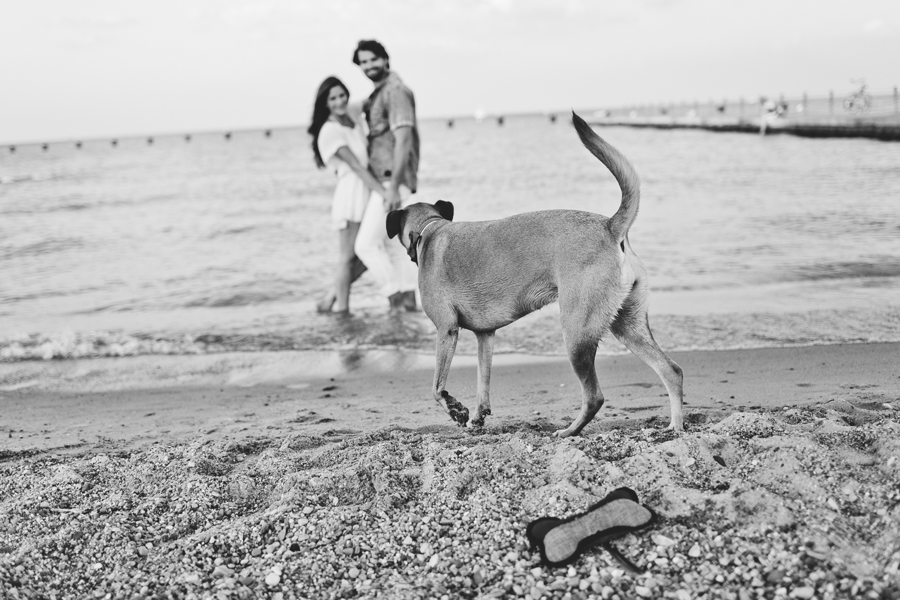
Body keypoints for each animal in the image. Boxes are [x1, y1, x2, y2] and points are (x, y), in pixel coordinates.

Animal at [384, 112, 684, 438]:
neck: (429, 229)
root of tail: (609, 227)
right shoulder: (485, 336)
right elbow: (483, 381)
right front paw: (477, 416)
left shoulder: (446, 329)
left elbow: (437, 387)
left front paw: (456, 410)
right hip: (628, 325)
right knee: (671, 370)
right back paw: (676, 426)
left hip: (577, 333)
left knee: (594, 396)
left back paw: (568, 431)